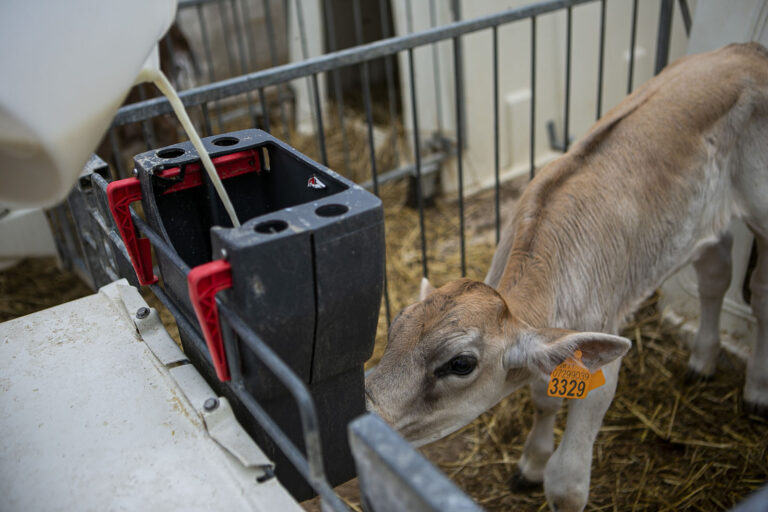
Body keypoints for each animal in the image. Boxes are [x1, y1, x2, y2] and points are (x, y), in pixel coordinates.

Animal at [364, 42, 768, 510]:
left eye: (460, 363)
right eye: (395, 325)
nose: (367, 409)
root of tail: (747, 50)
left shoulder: (602, 369)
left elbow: (568, 481)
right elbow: (544, 401)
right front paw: (530, 464)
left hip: (762, 208)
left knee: (760, 290)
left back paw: (757, 391)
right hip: (704, 220)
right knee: (716, 270)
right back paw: (702, 360)